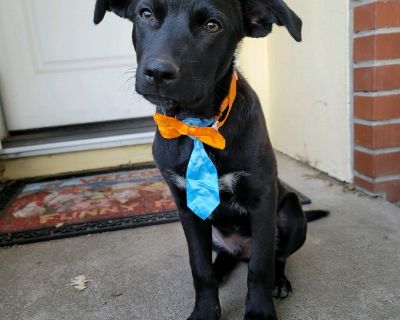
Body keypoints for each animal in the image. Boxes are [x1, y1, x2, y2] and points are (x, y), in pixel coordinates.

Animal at [94, 1, 328, 318]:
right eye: (145, 14)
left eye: (212, 26)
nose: (158, 72)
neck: (198, 124)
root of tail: (242, 249)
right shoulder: (187, 208)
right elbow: (200, 267)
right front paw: (205, 310)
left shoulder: (262, 201)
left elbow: (260, 267)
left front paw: (259, 312)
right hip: (214, 232)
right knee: (225, 257)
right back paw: (221, 270)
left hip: (290, 213)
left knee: (275, 257)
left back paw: (279, 282)